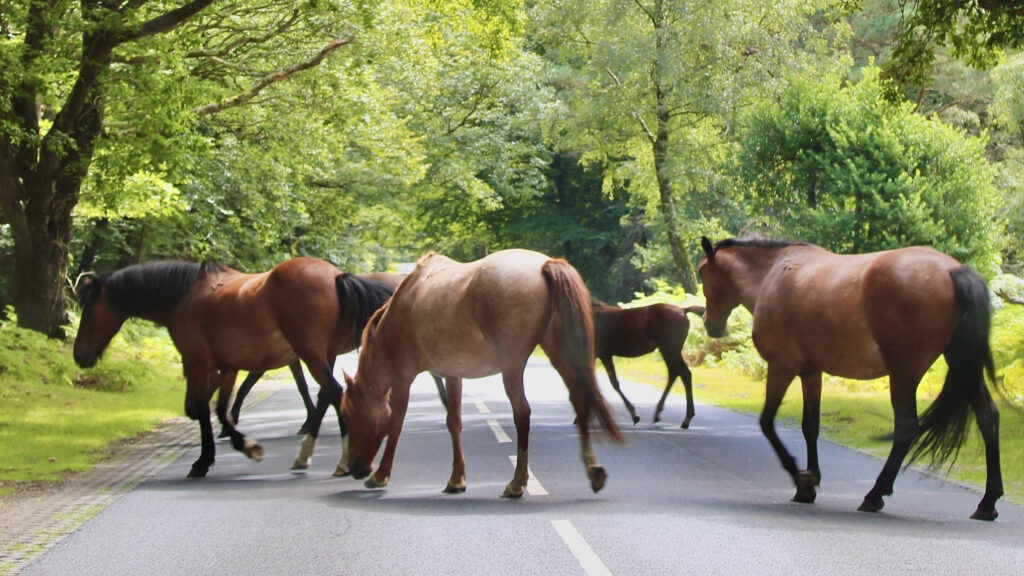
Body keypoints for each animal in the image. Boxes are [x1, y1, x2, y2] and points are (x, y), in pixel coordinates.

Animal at [73, 257, 395, 479]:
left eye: (89, 311)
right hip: (321, 355)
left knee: (334, 393)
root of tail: (337, 276)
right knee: (328, 394)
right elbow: (221, 408)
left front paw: (208, 459)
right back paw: (307, 456)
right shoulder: (227, 368)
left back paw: (339, 460)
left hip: (311, 354)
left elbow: (204, 410)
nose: (80, 356)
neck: (185, 296)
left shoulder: (196, 363)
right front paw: (240, 443)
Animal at [342, 249, 625, 497]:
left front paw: (380, 475)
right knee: (579, 400)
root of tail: (545, 264)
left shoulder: (403, 377)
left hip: (513, 367)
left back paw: (517, 483)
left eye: (347, 415)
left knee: (522, 413)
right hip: (559, 352)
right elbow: (453, 422)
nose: (355, 468)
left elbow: (396, 422)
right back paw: (593, 471)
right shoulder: (452, 375)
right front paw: (456, 479)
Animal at [697, 236, 1003, 520]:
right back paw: (987, 502)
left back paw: (875, 494)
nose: (710, 325)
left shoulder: (782, 367)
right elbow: (810, 426)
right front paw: (809, 485)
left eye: (702, 273)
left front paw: (801, 479)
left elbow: (767, 423)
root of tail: (953, 270)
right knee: (988, 417)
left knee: (906, 429)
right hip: (962, 366)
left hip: (905, 374)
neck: (771, 276)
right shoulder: (811, 373)